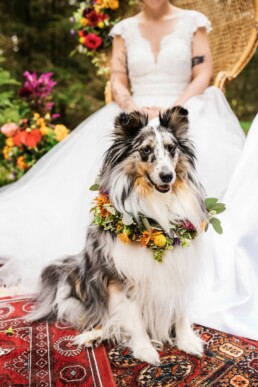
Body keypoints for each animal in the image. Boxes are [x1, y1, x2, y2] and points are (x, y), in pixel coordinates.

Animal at [29, 107, 208, 366]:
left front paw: (187, 341)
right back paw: (92, 336)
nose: (167, 176)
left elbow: (180, 311)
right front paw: (145, 350)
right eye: (146, 150)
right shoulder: (120, 278)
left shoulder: (179, 268)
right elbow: (133, 319)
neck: (157, 208)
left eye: (171, 148)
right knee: (102, 317)